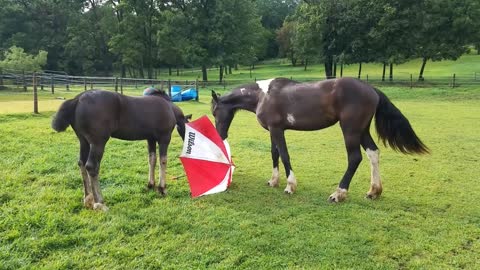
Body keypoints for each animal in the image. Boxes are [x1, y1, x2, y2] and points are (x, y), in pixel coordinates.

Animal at [52, 89, 191, 211]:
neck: (168, 107)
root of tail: (78, 99)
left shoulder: (150, 139)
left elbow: (152, 159)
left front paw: (151, 185)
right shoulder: (164, 138)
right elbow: (163, 161)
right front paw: (162, 188)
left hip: (84, 141)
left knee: (81, 163)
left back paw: (88, 199)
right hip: (98, 143)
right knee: (91, 166)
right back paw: (99, 203)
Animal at [212, 77, 430, 201]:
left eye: (214, 111)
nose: (220, 134)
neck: (262, 95)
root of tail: (371, 89)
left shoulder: (277, 130)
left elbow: (284, 155)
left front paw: (290, 186)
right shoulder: (273, 131)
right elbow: (274, 154)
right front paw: (273, 181)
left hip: (350, 130)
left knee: (355, 158)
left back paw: (339, 193)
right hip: (362, 131)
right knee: (373, 153)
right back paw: (374, 191)